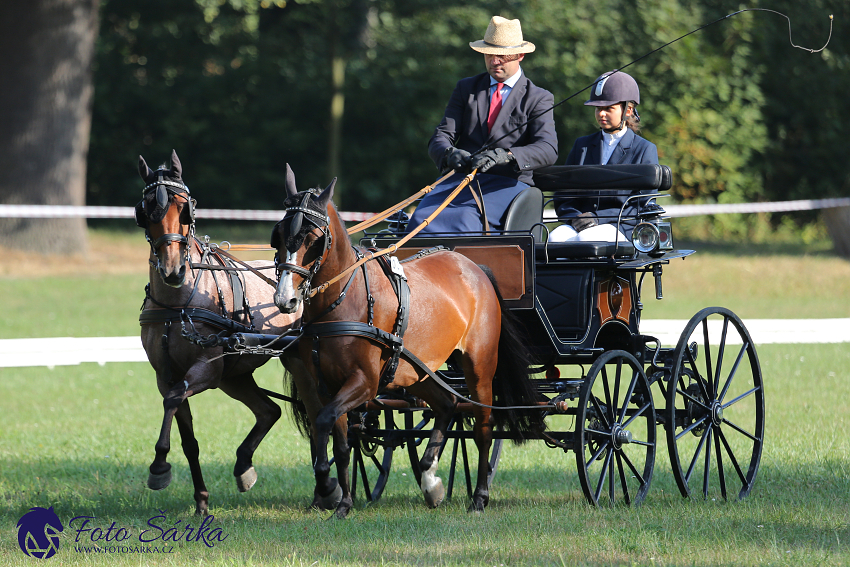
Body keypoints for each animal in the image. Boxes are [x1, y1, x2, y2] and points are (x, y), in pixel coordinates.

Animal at [134, 151, 342, 516]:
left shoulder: (206, 368)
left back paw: (325, 489)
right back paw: (247, 466)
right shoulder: (167, 375)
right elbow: (187, 436)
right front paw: (201, 500)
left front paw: (159, 467)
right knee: (269, 411)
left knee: (317, 415)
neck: (180, 301)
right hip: (235, 375)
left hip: (297, 367)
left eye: (184, 207)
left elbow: (173, 400)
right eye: (146, 210)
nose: (173, 270)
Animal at [268, 165, 540, 520]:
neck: (344, 301)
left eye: (313, 239)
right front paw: (342, 501)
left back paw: (479, 496)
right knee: (447, 404)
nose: (285, 299)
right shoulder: (328, 386)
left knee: (483, 425)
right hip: (417, 371)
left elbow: (326, 422)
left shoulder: (365, 382)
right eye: (278, 236)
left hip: (479, 366)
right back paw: (430, 480)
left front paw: (328, 487)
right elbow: (339, 440)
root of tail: (474, 267)